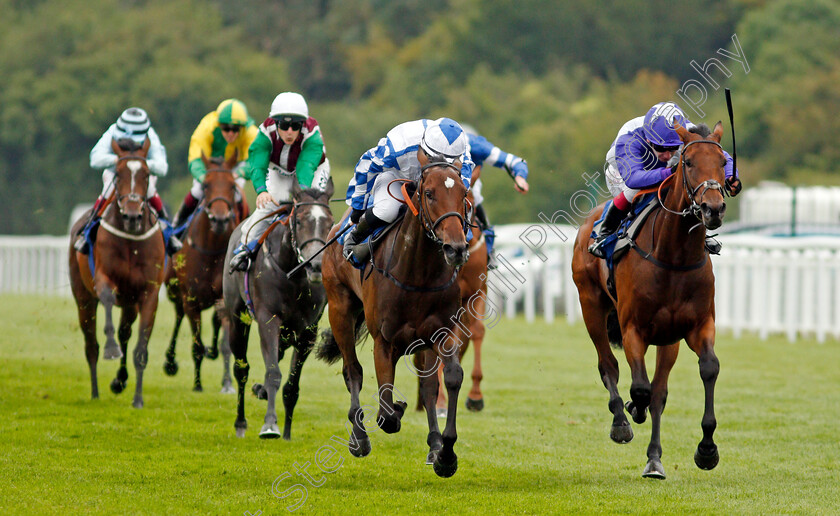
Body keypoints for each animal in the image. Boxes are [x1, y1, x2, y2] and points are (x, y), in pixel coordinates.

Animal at [69, 137, 166, 408]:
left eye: (146, 174)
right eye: (119, 174)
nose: (132, 216)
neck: (132, 240)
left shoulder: (149, 294)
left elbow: (140, 349)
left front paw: (138, 399)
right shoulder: (104, 279)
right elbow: (108, 299)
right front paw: (111, 348)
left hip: (130, 304)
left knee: (126, 333)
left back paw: (119, 380)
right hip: (83, 300)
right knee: (91, 345)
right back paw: (95, 392)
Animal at [163, 151, 243, 394]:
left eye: (232, 186)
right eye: (206, 185)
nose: (220, 219)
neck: (211, 250)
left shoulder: (224, 298)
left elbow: (226, 342)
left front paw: (227, 382)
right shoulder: (191, 299)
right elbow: (196, 345)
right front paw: (197, 384)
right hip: (175, 292)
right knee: (178, 317)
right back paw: (170, 361)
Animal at [223, 180, 334, 440]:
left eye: (329, 222)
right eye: (300, 220)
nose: (315, 265)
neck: (293, 275)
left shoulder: (307, 332)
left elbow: (291, 387)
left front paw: (286, 433)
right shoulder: (268, 320)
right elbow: (273, 373)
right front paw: (270, 425)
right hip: (237, 319)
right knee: (241, 369)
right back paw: (240, 422)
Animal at [316, 162, 472, 480]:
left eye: (464, 193)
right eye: (429, 193)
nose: (456, 249)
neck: (418, 274)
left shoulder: (441, 332)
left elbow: (450, 378)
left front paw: (445, 453)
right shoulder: (385, 342)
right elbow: (387, 412)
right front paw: (394, 411)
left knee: (428, 386)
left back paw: (434, 444)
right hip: (339, 309)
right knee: (352, 370)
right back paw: (359, 437)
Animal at [572, 122, 728, 480]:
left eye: (723, 162)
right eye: (688, 163)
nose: (713, 209)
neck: (674, 257)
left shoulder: (697, 326)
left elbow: (706, 369)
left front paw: (707, 450)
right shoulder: (633, 329)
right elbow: (639, 387)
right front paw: (632, 410)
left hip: (667, 339)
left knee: (658, 391)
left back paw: (654, 459)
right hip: (591, 307)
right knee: (609, 366)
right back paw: (621, 420)